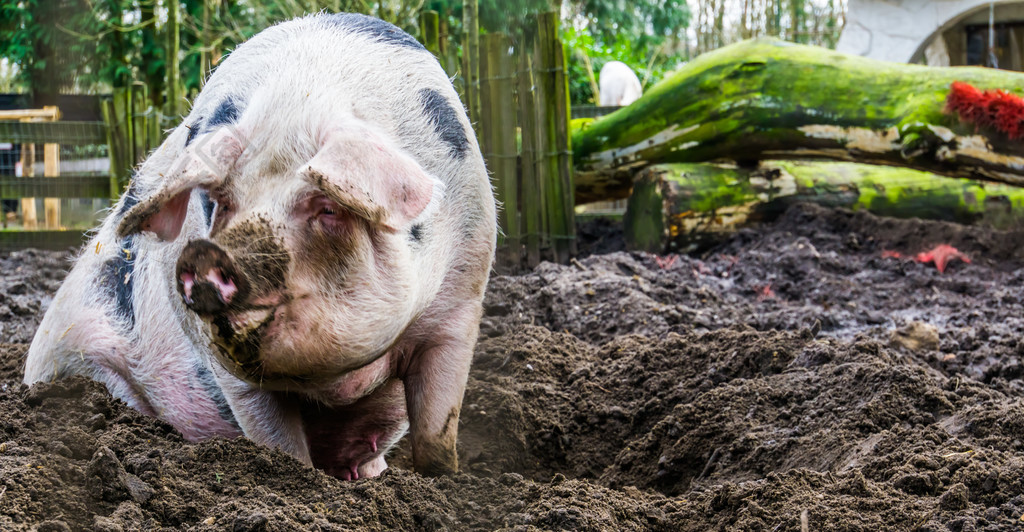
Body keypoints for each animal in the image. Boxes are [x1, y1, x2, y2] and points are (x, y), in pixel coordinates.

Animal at [23, 12, 495, 480]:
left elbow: (437, 431)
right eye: (221, 200)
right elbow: (279, 445)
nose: (206, 254)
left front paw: (441, 481)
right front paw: (294, 476)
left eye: (327, 207)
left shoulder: (460, 305)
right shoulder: (224, 363)